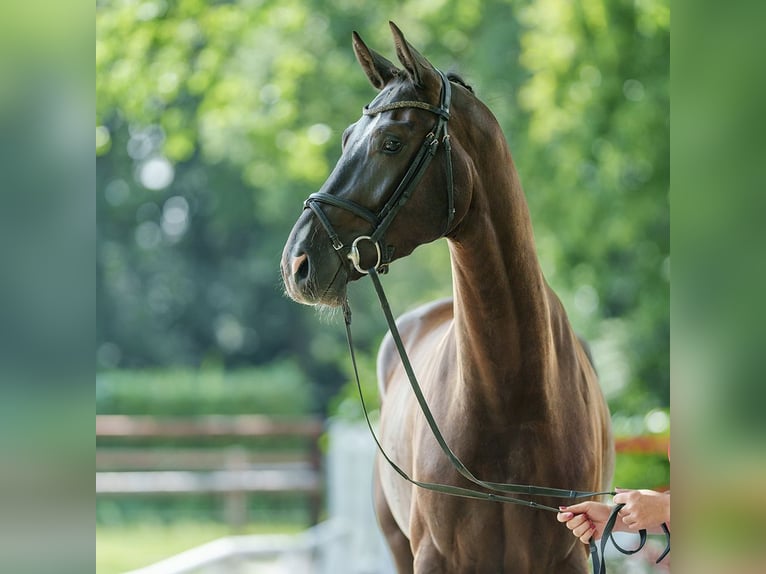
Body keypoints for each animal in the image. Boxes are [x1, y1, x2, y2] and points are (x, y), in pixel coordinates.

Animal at [280, 22, 612, 574]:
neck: (511, 400)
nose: (297, 263)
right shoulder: (432, 558)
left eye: (392, 142)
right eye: (346, 138)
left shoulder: (571, 557)